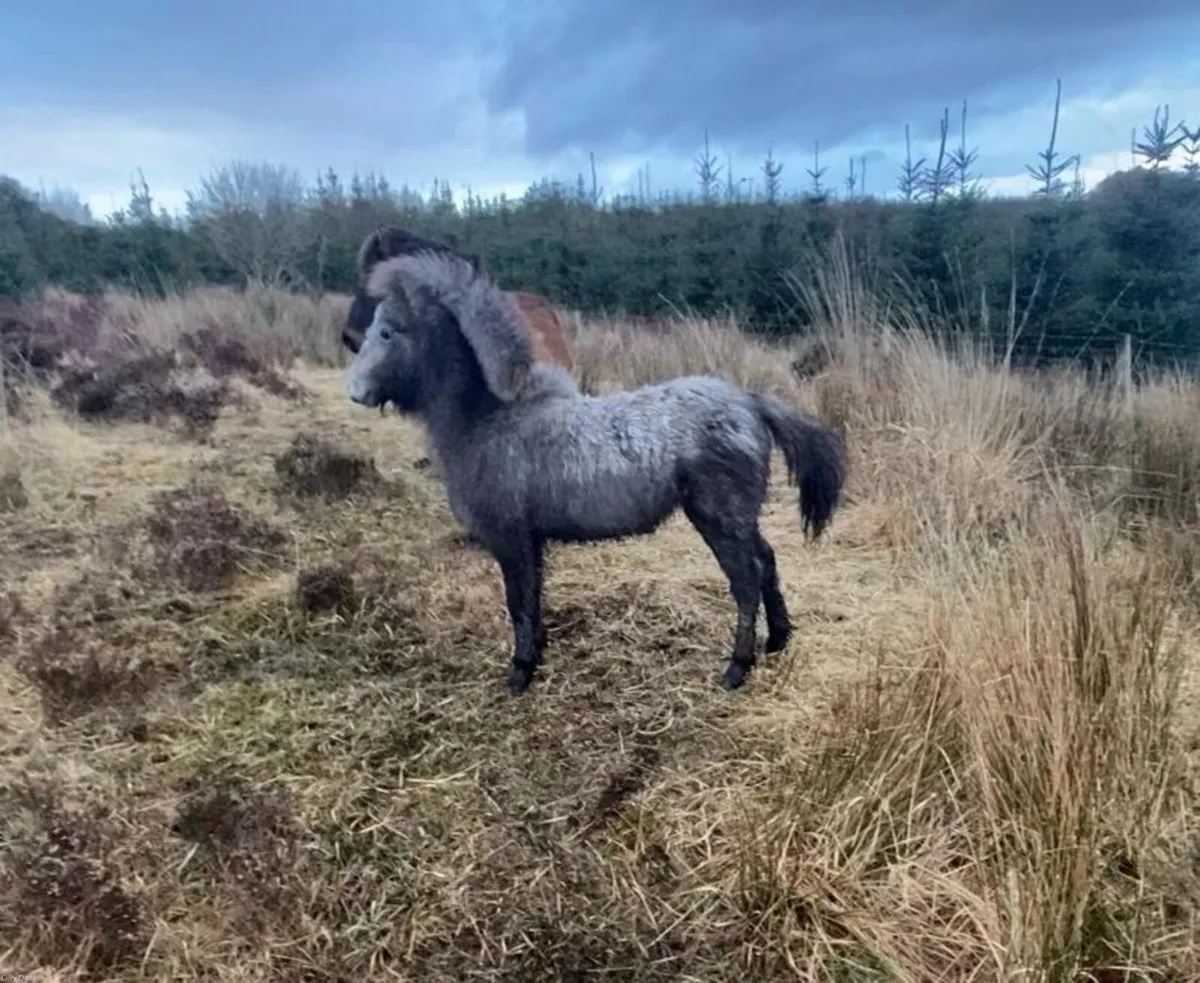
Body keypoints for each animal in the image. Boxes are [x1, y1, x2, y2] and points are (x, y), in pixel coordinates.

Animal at [343, 250, 847, 695]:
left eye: (386, 332)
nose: (355, 392)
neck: (489, 420)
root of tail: (749, 403)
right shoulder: (531, 541)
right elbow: (533, 597)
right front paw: (536, 656)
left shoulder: (510, 538)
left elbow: (517, 602)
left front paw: (519, 673)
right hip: (740, 517)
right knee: (767, 563)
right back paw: (778, 640)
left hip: (719, 518)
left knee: (746, 580)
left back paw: (737, 668)